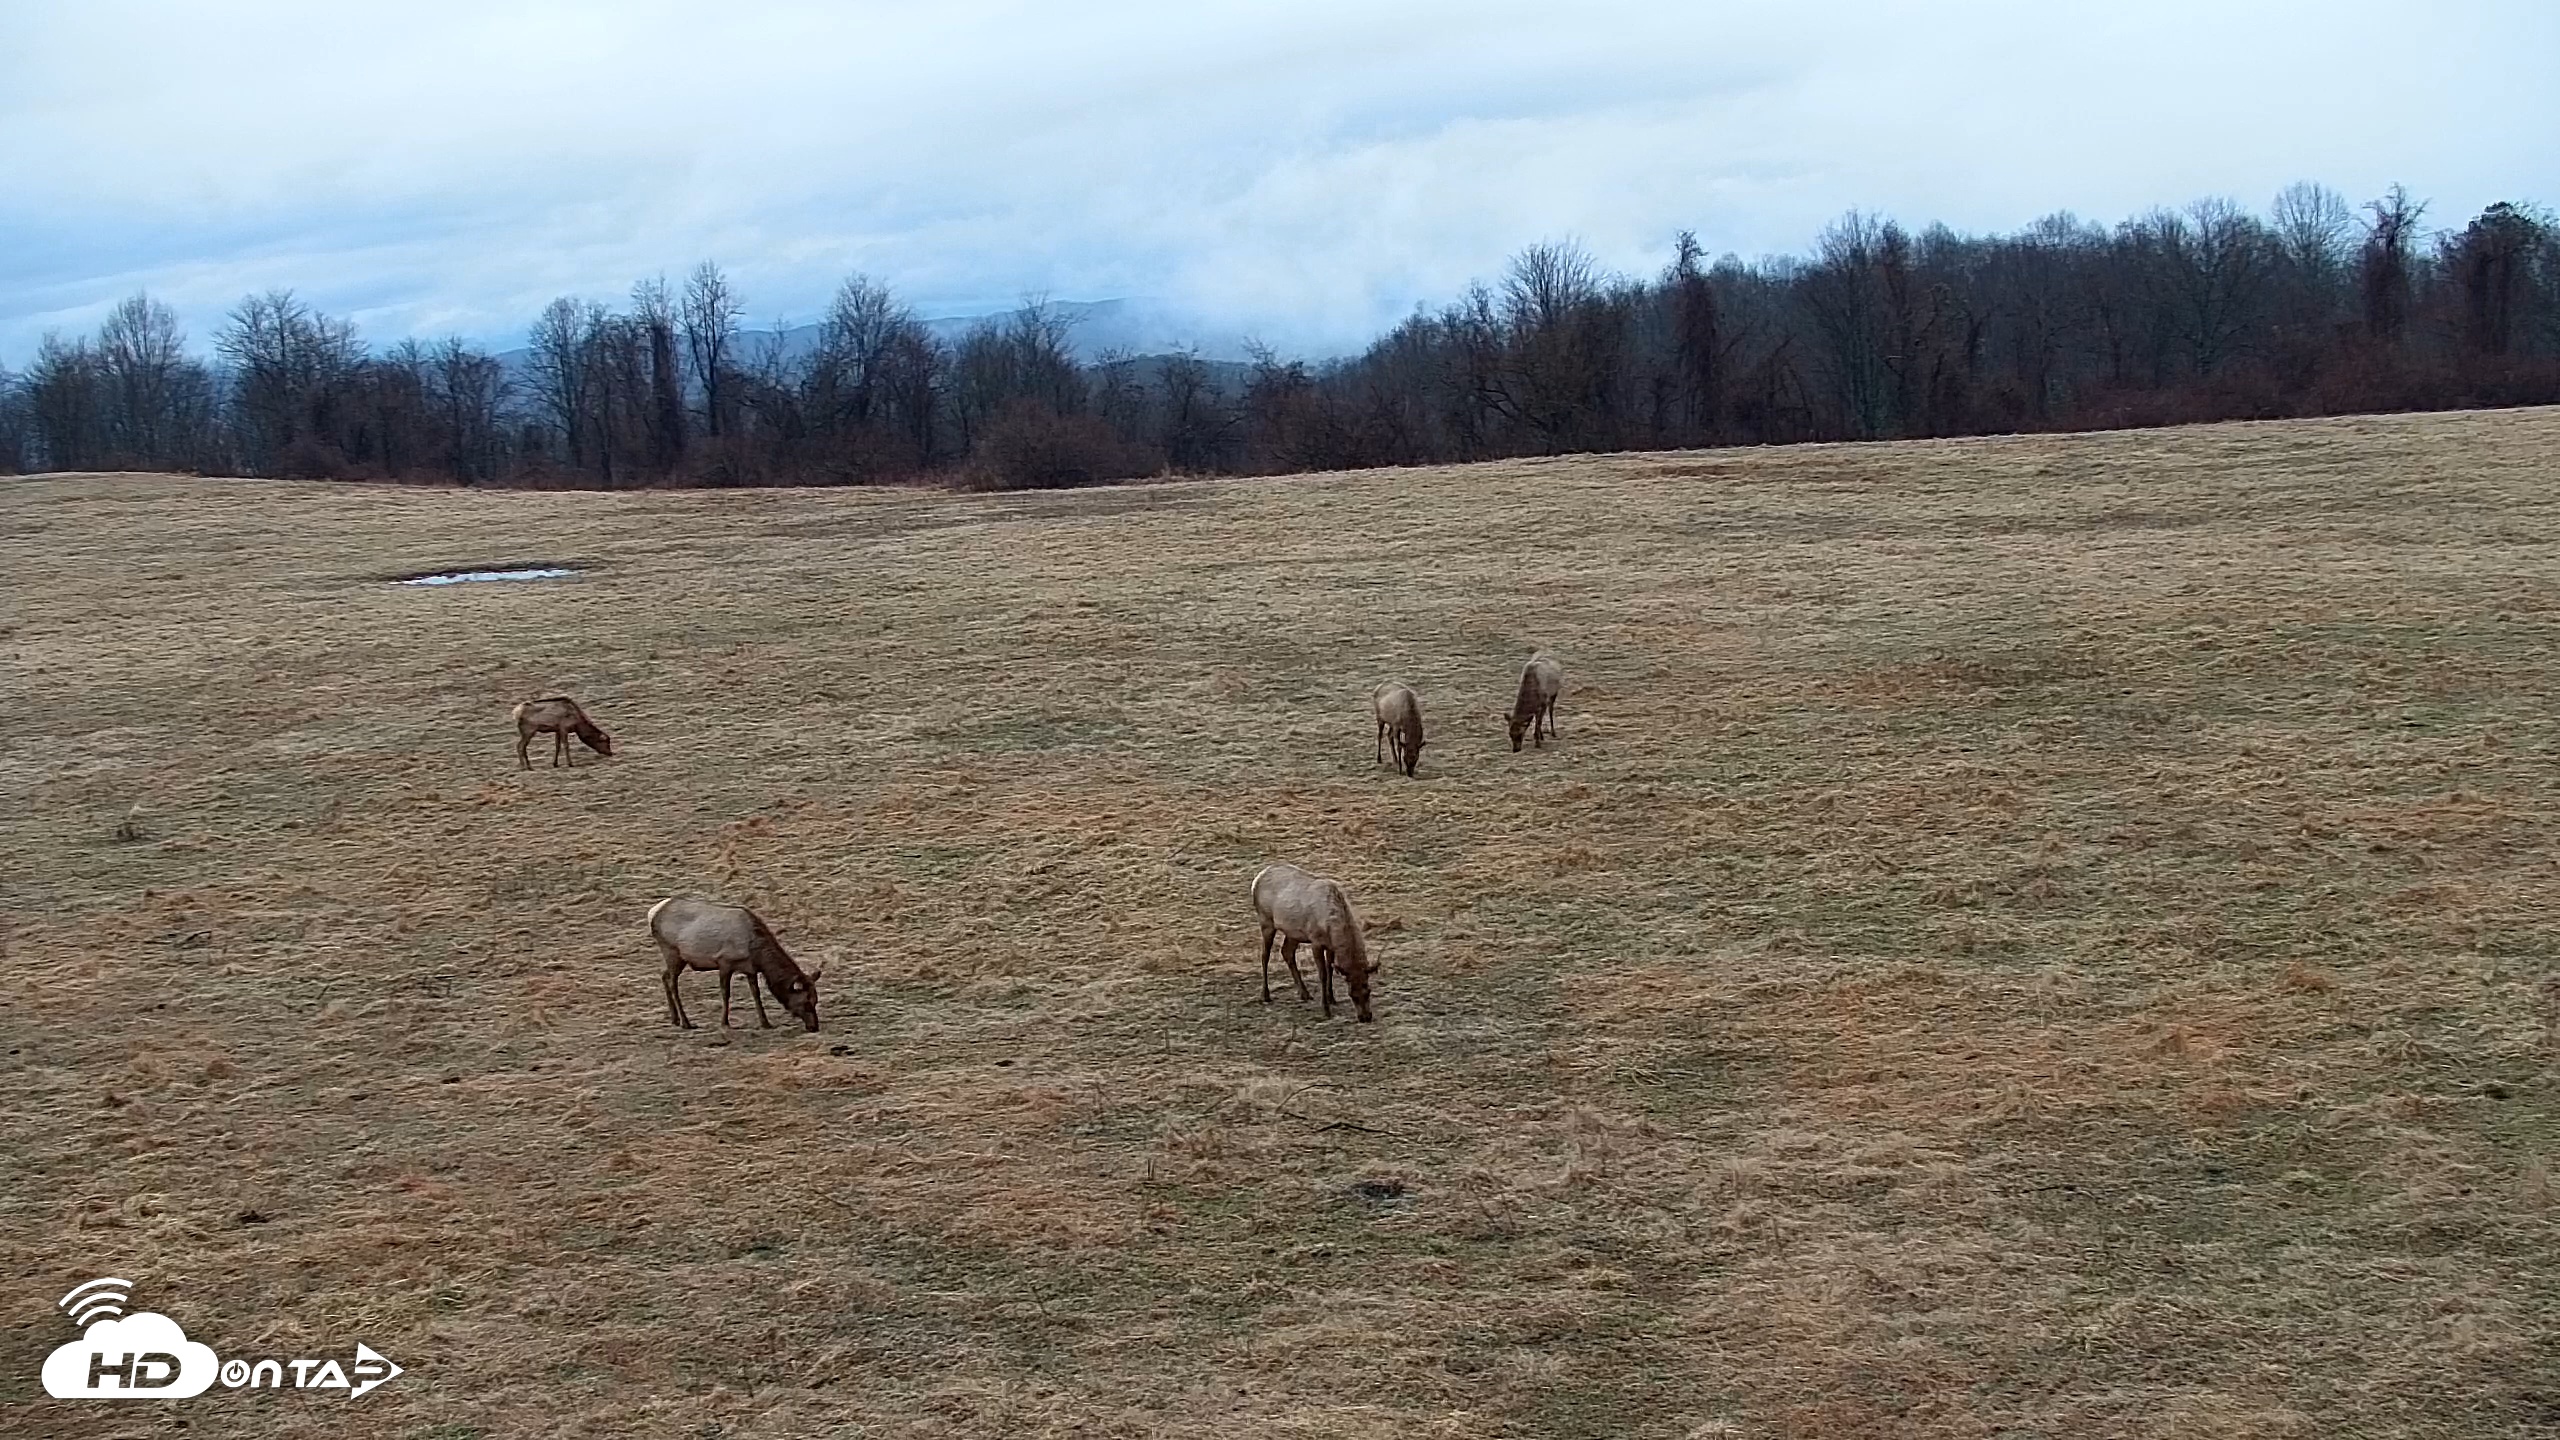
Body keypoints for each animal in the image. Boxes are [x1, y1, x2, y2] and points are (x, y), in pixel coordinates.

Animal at [647, 897, 824, 1032]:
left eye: (816, 1001)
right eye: (806, 1002)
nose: (814, 1027)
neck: (756, 951)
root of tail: (652, 913)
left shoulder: (750, 969)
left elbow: (756, 994)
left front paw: (765, 1023)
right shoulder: (724, 962)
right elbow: (726, 993)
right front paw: (725, 1022)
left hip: (678, 958)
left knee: (664, 976)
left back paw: (675, 1019)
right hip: (672, 952)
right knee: (672, 983)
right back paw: (686, 1022)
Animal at [1251, 862, 1376, 1023]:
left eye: (1368, 990)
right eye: (1351, 994)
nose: (1365, 1017)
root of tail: (1256, 881)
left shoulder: (1331, 945)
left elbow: (1330, 968)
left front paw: (1331, 998)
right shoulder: (1316, 942)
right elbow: (1322, 974)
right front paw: (1326, 1009)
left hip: (1293, 932)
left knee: (1287, 952)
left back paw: (1304, 993)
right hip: (1266, 921)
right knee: (1265, 955)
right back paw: (1265, 995)